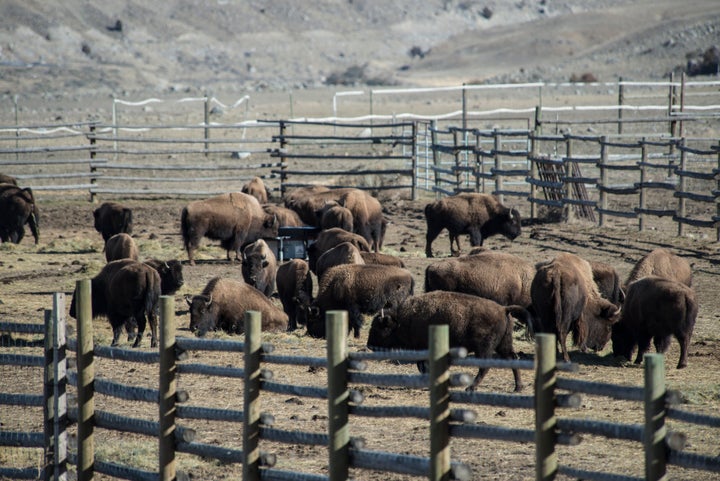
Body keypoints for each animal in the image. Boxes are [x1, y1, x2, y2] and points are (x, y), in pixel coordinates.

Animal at [368, 290, 532, 392]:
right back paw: (518, 388)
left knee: (485, 367)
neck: (402, 320)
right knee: (512, 360)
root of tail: (504, 309)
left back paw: (471, 387)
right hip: (504, 345)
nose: (369, 345)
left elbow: (423, 367)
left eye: (378, 326)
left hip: (484, 348)